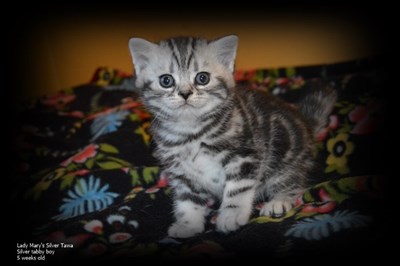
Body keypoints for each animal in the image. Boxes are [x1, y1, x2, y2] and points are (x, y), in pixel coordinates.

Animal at [128, 35, 334, 239]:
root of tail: (306, 125)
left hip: (284, 150)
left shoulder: (243, 155)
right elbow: (187, 199)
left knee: (293, 181)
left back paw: (279, 201)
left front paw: (231, 216)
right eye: (166, 81)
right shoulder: (182, 172)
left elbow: (237, 189)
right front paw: (188, 224)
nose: (185, 93)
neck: (191, 132)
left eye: (202, 78)